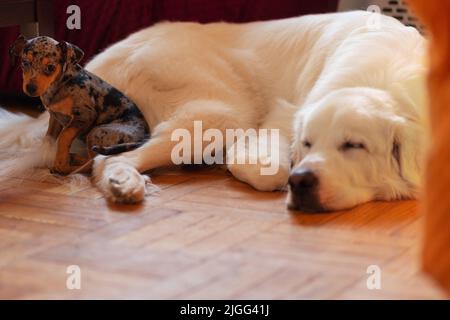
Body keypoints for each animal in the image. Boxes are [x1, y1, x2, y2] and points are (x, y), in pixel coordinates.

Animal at [0, 11, 428, 212]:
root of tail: (101, 59)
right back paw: (126, 185)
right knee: (107, 160)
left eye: (355, 146)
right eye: (308, 143)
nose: (303, 181)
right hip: (219, 115)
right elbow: (270, 171)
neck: (378, 79)